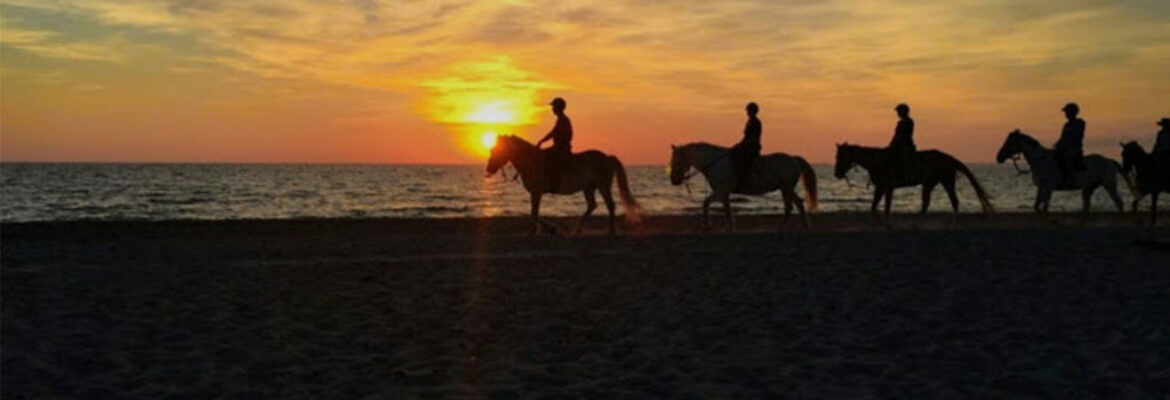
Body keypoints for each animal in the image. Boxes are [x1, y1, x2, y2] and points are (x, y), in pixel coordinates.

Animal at [484, 135, 641, 233]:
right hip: (589, 188)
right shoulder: (535, 193)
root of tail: (607, 157)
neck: (531, 161)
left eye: (498, 150)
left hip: (603, 186)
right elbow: (534, 212)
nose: (489, 169)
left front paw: (547, 229)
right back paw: (577, 230)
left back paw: (611, 231)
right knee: (592, 205)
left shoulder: (537, 192)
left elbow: (534, 212)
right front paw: (535, 231)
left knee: (610, 205)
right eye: (492, 149)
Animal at [673, 142, 819, 229]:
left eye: (676, 160)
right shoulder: (724, 192)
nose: (674, 180)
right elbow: (727, 208)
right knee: (789, 206)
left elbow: (706, 203)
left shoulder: (721, 190)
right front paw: (730, 225)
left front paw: (706, 225)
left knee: (798, 203)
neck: (714, 163)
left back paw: (805, 225)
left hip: (787, 188)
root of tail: (794, 159)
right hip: (784, 188)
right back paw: (783, 225)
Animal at [992, 130, 1127, 212]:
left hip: (1109, 185)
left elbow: (1044, 207)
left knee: (1119, 202)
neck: (1040, 160)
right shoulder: (1041, 188)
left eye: (1009, 142)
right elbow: (1037, 206)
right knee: (1087, 205)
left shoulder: (1048, 188)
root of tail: (1108, 160)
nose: (998, 157)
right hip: (1090, 188)